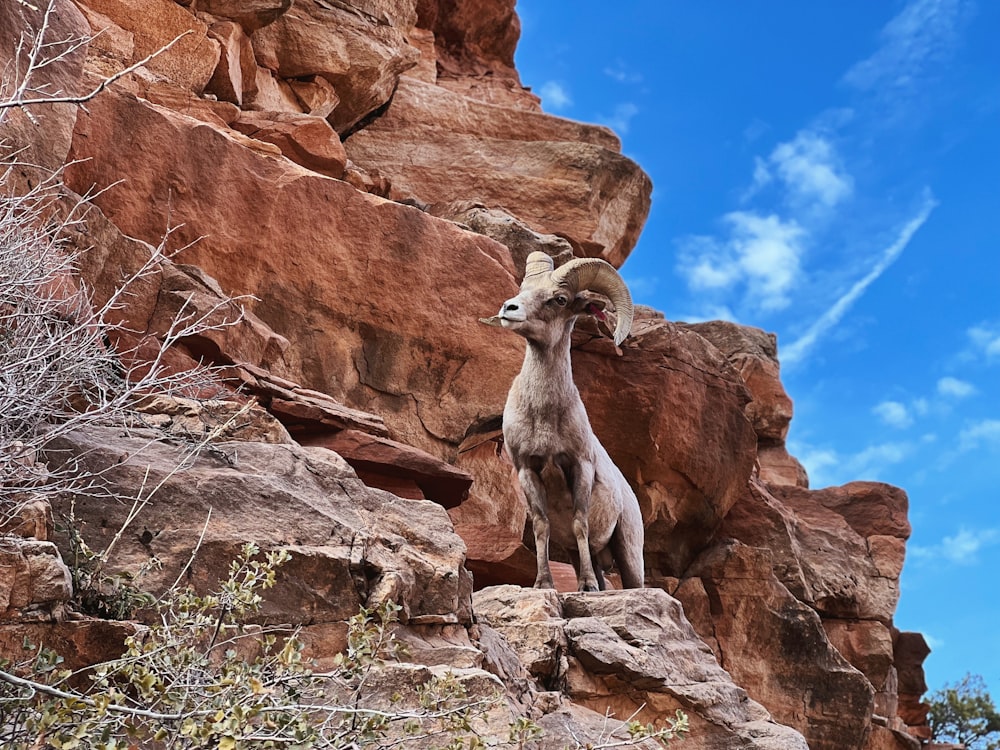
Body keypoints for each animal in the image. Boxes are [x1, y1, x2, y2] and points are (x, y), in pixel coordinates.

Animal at [482, 253, 640, 592]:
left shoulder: (580, 466)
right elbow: (542, 527)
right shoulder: (527, 470)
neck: (544, 416)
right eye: (523, 289)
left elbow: (580, 523)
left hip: (629, 553)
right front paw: (543, 584)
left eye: (560, 299)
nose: (509, 309)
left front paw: (587, 587)